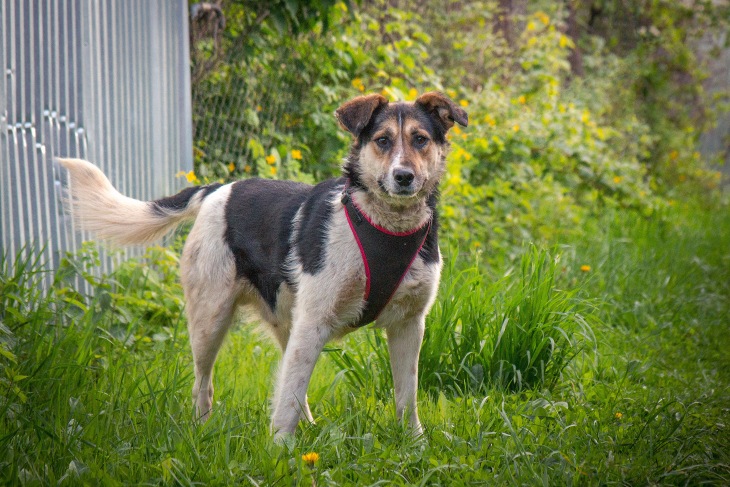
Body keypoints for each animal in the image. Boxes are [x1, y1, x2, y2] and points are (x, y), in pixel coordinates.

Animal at [59, 91, 467, 438]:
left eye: (420, 139)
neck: (385, 226)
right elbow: (287, 400)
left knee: (290, 382)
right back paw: (203, 430)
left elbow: (406, 397)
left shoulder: (409, 325)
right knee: (205, 384)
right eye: (382, 140)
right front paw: (282, 453)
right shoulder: (315, 320)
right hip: (211, 321)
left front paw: (414, 444)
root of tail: (217, 189)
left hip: (289, 324)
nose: (404, 176)